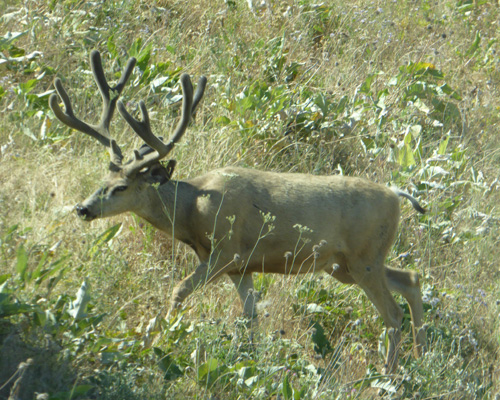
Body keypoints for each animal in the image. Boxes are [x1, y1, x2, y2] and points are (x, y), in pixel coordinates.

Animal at [49, 50, 426, 376]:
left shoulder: (225, 251)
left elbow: (179, 291)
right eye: (103, 179)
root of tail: (396, 195)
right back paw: (421, 358)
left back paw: (389, 374)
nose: (83, 208)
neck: (191, 210)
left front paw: (162, 339)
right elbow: (250, 316)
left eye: (122, 187)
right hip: (345, 264)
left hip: (363, 257)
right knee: (410, 279)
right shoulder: (241, 267)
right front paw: (248, 360)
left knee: (393, 314)